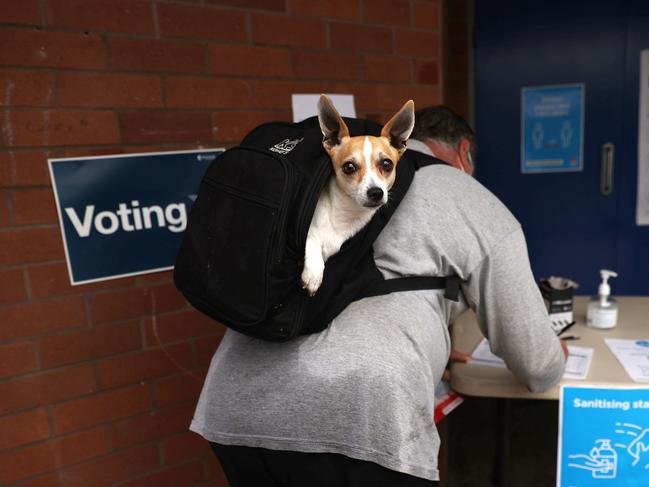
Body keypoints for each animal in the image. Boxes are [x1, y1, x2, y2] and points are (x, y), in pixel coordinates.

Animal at [300, 93, 412, 296]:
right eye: (349, 167)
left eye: (387, 164)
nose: (376, 192)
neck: (346, 214)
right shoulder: (308, 231)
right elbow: (311, 239)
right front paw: (313, 273)